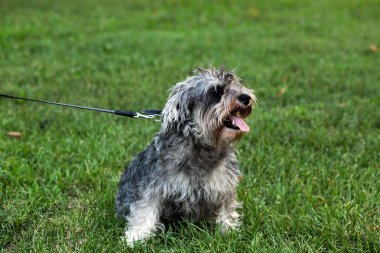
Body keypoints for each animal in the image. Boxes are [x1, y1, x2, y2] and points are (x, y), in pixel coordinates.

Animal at [116, 66, 255, 245]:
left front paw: (229, 230)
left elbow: (227, 210)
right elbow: (144, 211)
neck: (203, 148)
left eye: (237, 84)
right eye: (215, 91)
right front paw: (135, 238)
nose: (245, 97)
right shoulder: (153, 189)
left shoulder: (224, 187)